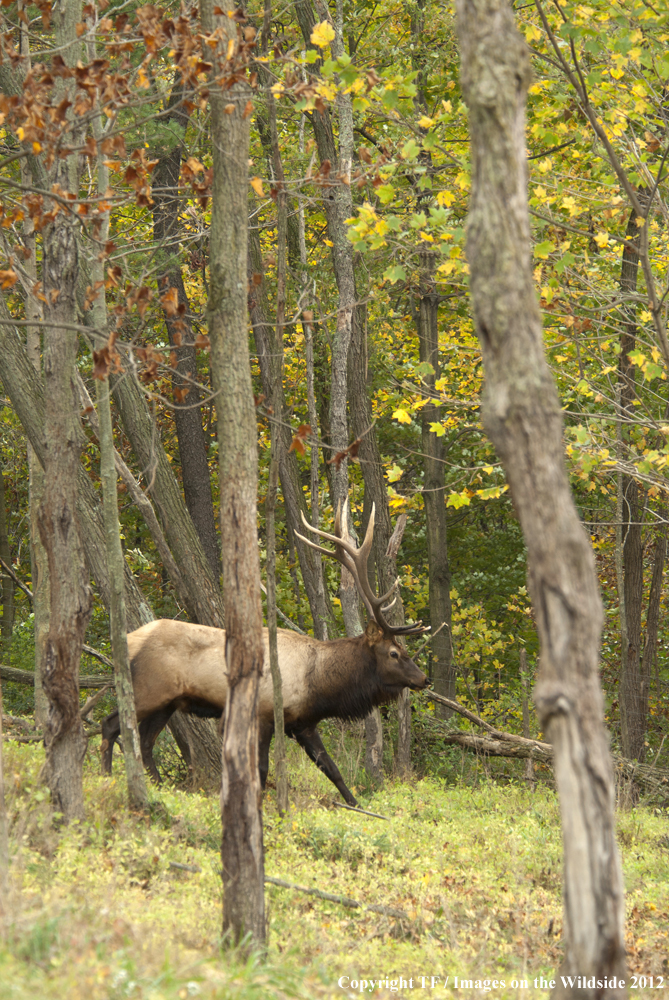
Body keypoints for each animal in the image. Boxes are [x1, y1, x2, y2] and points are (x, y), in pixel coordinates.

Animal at [103, 500, 428, 804]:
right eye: (394, 652)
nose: (423, 679)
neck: (318, 684)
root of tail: (129, 640)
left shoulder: (303, 722)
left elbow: (331, 768)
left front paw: (355, 804)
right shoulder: (263, 713)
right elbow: (260, 769)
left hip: (168, 702)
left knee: (145, 741)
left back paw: (157, 786)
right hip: (148, 690)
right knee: (111, 725)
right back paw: (107, 777)